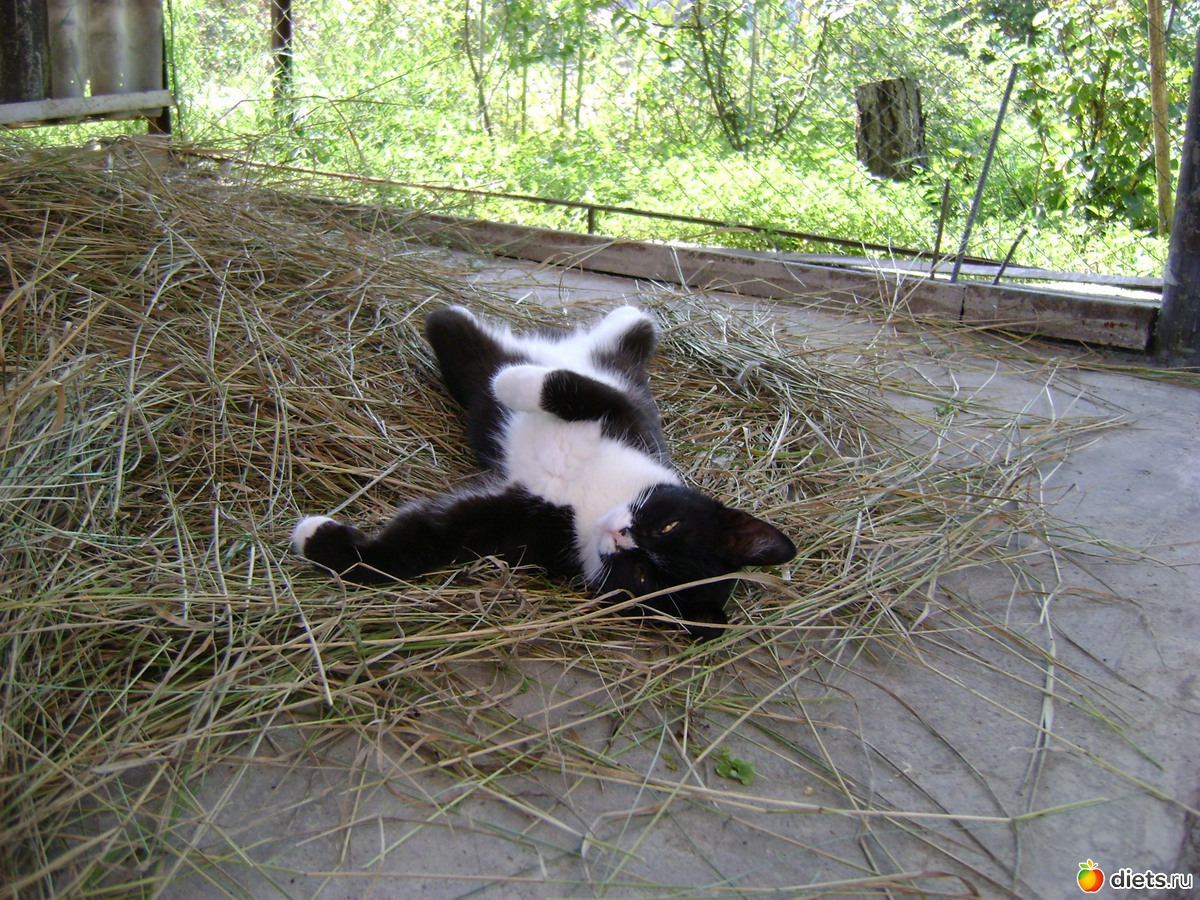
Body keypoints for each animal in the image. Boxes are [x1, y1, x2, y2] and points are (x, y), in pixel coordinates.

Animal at [291, 304, 796, 639]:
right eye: (670, 524)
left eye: (642, 578)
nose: (620, 535)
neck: (593, 498)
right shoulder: (626, 419)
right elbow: (570, 389)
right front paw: (512, 384)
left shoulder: (521, 522)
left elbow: (428, 539)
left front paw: (322, 542)